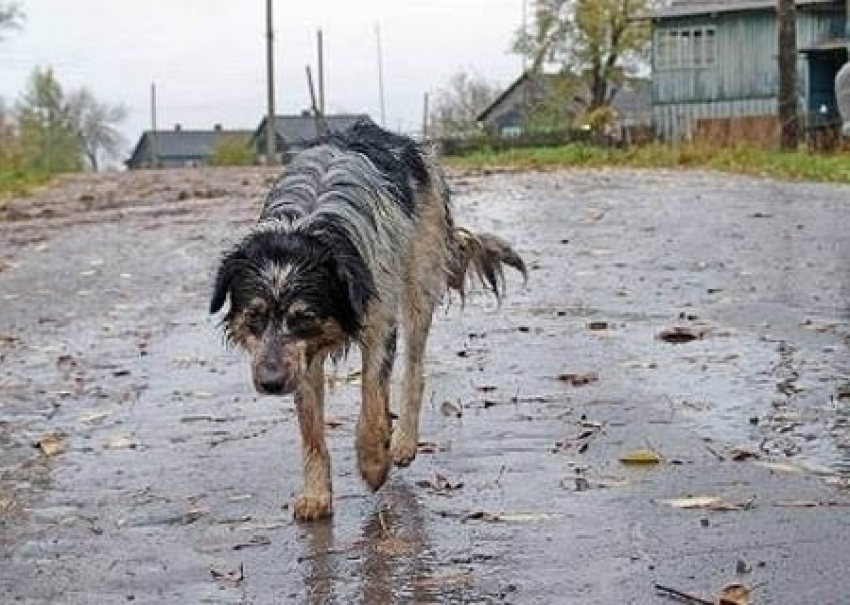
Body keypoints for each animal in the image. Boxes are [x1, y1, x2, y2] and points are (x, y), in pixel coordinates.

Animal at [210, 121, 524, 520]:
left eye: (304, 316)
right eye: (254, 316)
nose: (270, 383)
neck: (313, 222)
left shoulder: (378, 320)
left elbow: (373, 402)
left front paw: (374, 463)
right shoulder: (300, 357)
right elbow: (311, 428)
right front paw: (316, 494)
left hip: (420, 280)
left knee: (414, 370)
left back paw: (403, 442)